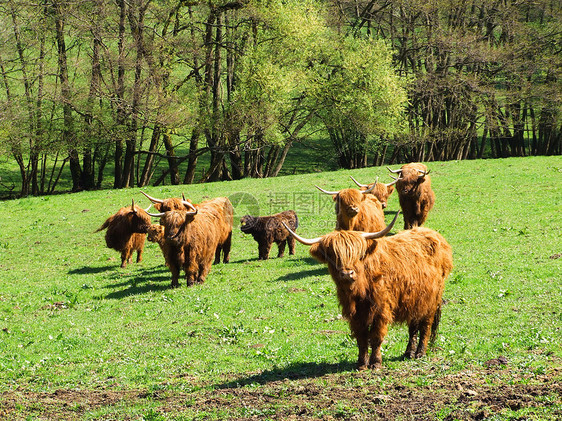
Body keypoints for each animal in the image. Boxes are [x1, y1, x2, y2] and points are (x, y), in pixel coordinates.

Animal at [284, 212, 450, 370]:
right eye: (332, 255)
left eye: (357, 254)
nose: (347, 274)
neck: (360, 291)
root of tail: (434, 235)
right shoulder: (355, 315)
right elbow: (361, 338)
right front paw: (362, 363)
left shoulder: (381, 310)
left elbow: (376, 337)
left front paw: (375, 363)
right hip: (415, 300)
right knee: (413, 327)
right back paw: (408, 353)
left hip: (431, 301)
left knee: (425, 326)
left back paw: (420, 353)